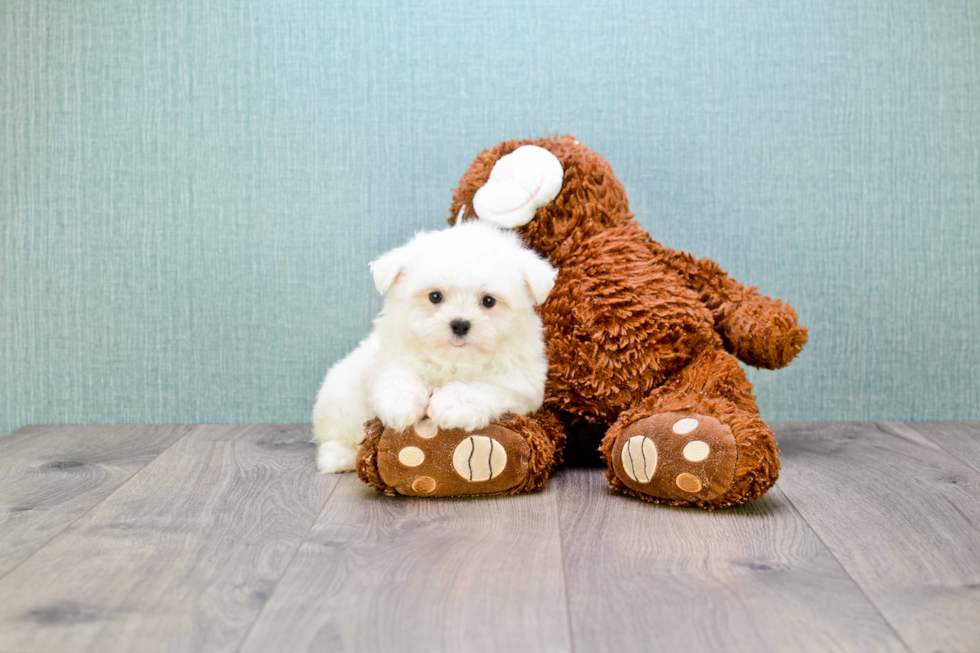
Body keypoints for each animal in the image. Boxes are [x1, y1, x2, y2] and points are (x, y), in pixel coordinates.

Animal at [314, 220, 560, 474]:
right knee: (337, 432)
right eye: (435, 296)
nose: (460, 324)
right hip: (340, 397)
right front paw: (401, 404)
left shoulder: (521, 383)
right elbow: (398, 376)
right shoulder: (391, 357)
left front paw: (452, 404)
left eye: (489, 301)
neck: (454, 359)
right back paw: (338, 456)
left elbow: (484, 387)